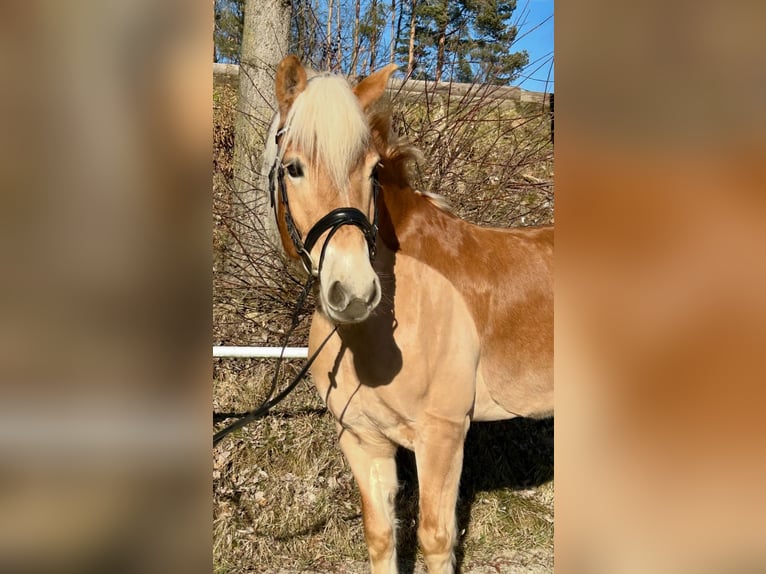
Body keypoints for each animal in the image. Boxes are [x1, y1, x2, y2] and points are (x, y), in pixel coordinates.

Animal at [262, 55, 552, 574]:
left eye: (371, 170)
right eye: (293, 168)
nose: (354, 291)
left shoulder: (442, 437)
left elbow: (435, 540)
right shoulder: (362, 440)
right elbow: (381, 537)